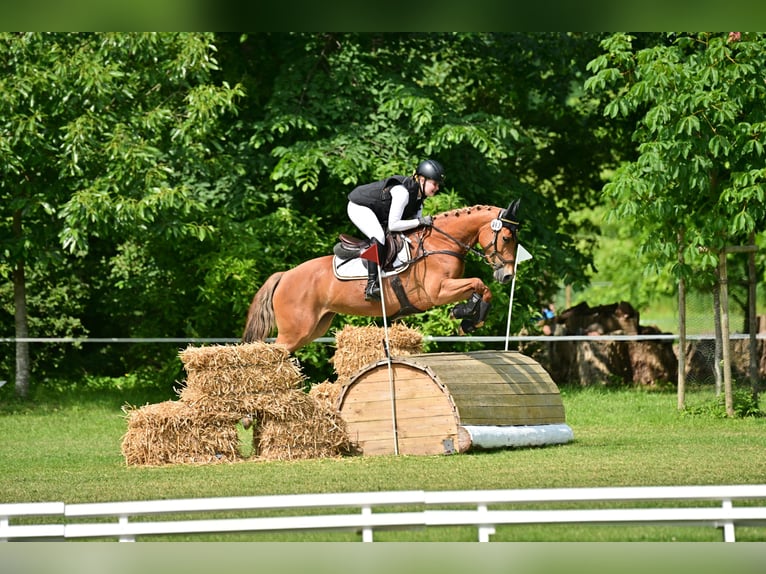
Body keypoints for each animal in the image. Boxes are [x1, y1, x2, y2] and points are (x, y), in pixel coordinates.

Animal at [242, 200, 521, 353]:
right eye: (507, 238)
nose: (508, 276)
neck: (441, 243)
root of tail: (285, 275)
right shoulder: (436, 292)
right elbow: (480, 284)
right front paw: (468, 315)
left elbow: (480, 288)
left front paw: (468, 317)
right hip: (295, 331)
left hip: (314, 327)